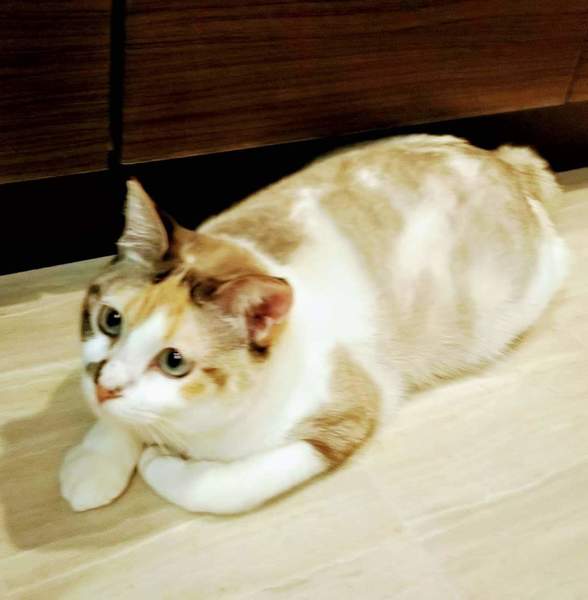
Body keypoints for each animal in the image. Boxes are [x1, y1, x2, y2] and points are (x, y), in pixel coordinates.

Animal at [60, 134, 569, 514]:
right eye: (111, 321)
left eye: (173, 362)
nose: (107, 386)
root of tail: (503, 160)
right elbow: (114, 422)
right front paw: (94, 466)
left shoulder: (344, 421)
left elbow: (219, 488)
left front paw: (156, 463)